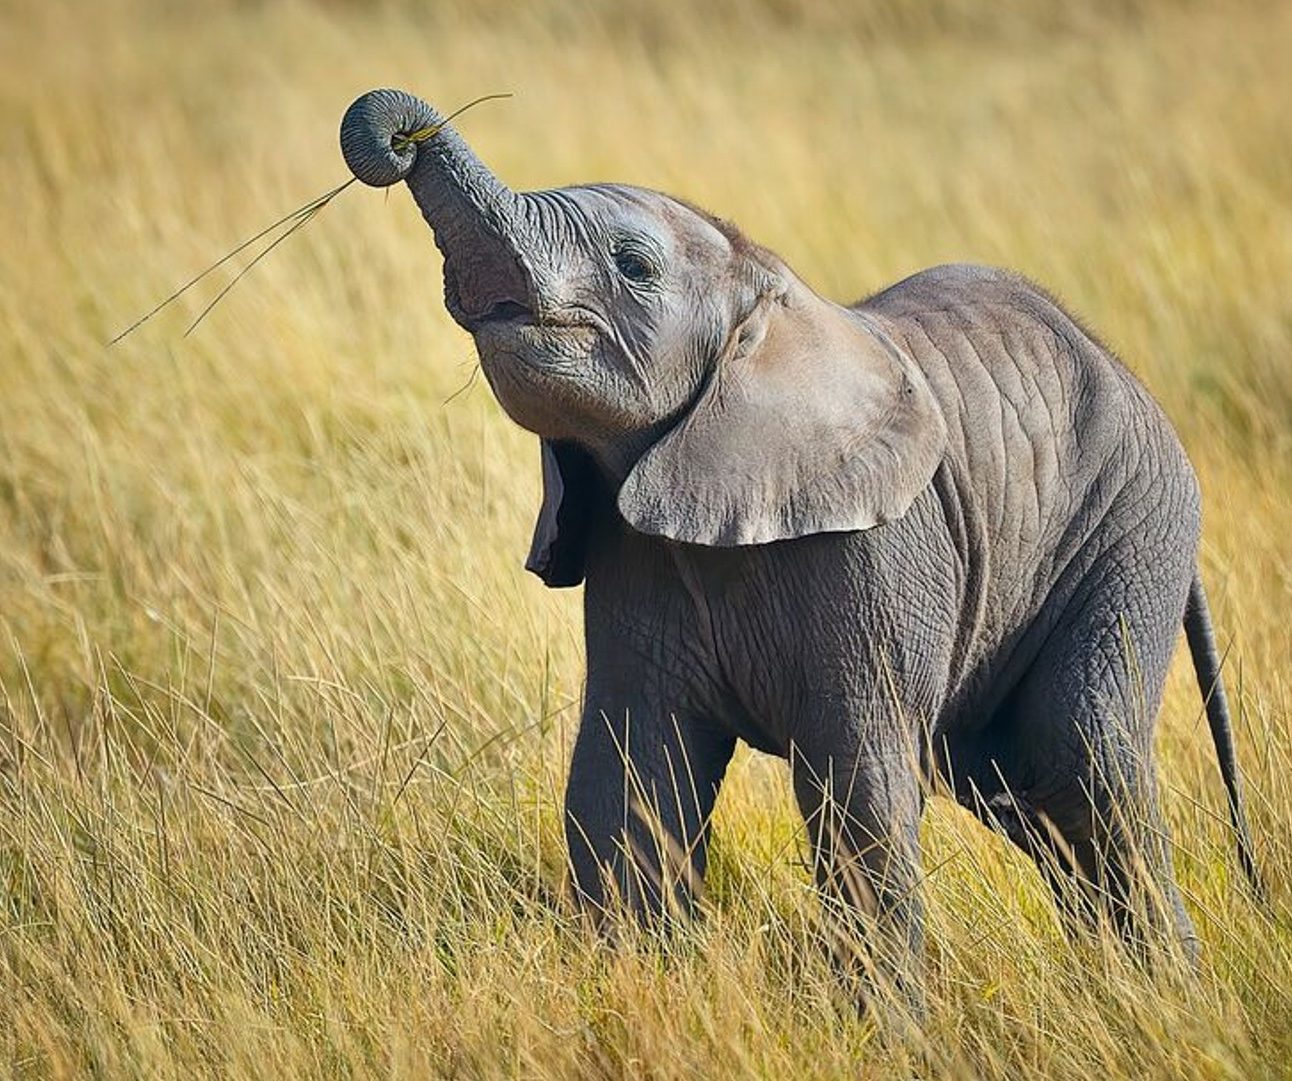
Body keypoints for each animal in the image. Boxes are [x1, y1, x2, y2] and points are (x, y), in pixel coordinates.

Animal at [338, 88, 1255, 997]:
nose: (402, 138)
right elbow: (628, 775)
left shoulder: (876, 554)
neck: (772, 298)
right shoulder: (635, 557)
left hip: (1129, 528)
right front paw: (637, 987)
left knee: (1079, 754)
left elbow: (857, 785)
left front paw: (884, 1023)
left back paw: (1171, 998)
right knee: (1019, 785)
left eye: (633, 265)